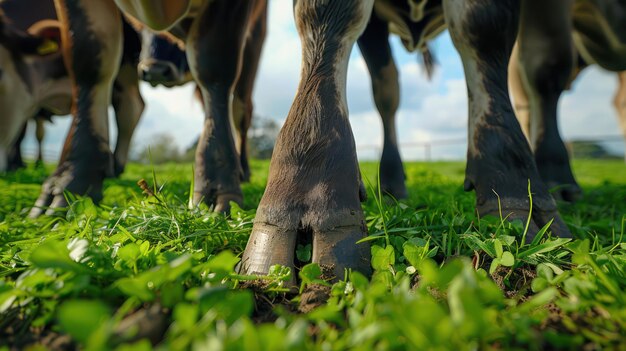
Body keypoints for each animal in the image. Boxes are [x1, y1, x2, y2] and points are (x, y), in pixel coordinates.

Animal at [0, 0, 143, 176]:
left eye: (0, 74)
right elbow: (21, 132)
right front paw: (16, 165)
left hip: (126, 71)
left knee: (130, 108)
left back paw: (116, 166)